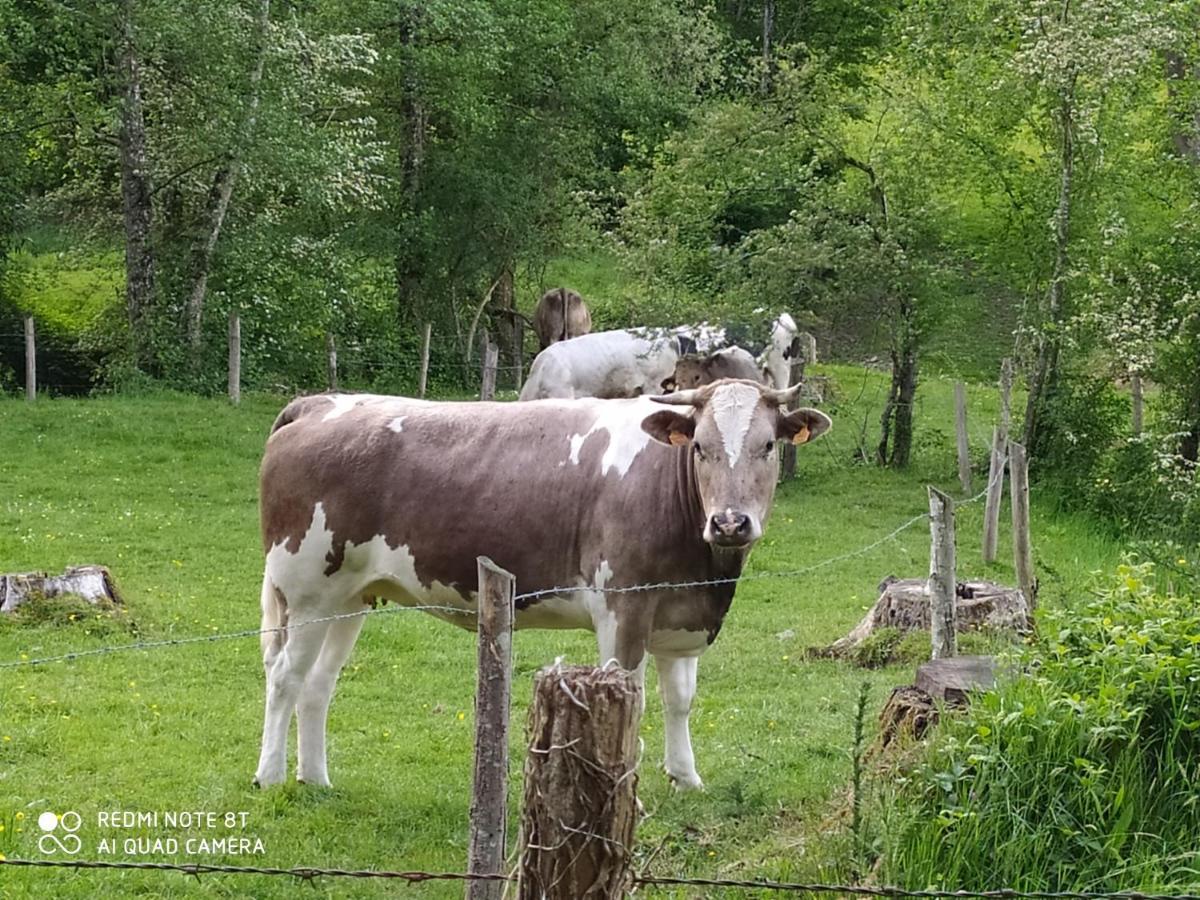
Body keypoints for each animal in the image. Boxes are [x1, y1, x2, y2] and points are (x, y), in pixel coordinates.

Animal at [253, 381, 830, 787]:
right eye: (701, 448)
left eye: (767, 446)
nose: (730, 522)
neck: (708, 570)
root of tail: (319, 402)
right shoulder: (623, 607)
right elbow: (632, 696)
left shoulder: (683, 618)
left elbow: (680, 699)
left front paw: (686, 778)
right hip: (306, 590)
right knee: (284, 677)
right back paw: (272, 776)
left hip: (349, 599)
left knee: (318, 685)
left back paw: (316, 778)